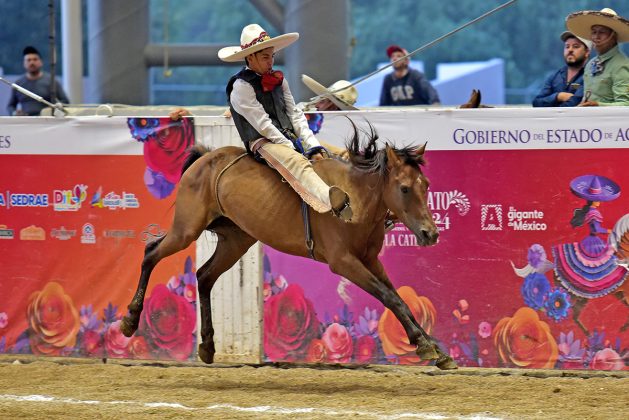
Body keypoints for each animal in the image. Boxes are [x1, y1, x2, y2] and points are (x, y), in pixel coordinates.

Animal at [119, 122, 456, 370]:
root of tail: (205, 157)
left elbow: (398, 298)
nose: (430, 234)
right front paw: (425, 346)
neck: (355, 199)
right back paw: (130, 320)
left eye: (426, 185)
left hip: (236, 240)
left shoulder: (370, 260)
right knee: (151, 253)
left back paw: (208, 346)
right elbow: (390, 298)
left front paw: (435, 348)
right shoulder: (344, 262)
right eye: (404, 188)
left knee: (204, 276)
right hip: (185, 230)